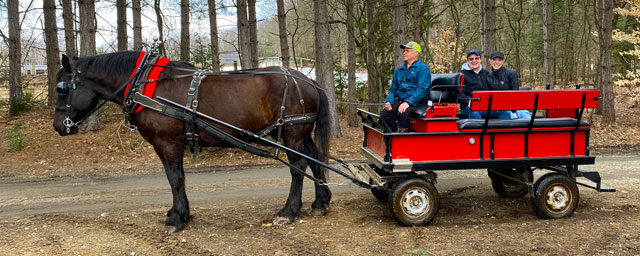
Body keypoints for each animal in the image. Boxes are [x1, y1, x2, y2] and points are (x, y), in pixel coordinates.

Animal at [53, 51, 332, 232]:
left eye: (61, 88)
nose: (58, 126)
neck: (144, 83)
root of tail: (308, 80)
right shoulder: (175, 142)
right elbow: (180, 178)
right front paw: (181, 213)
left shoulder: (166, 142)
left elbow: (174, 178)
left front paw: (176, 218)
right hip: (300, 134)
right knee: (315, 160)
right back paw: (320, 202)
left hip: (292, 134)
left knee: (298, 167)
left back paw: (289, 211)